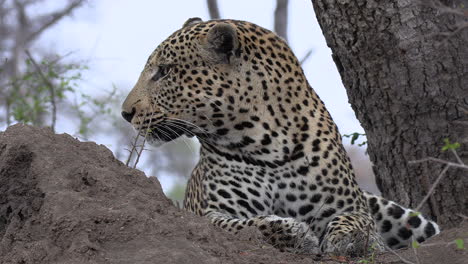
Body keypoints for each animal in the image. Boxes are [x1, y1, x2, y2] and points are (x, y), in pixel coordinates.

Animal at [119, 17, 438, 256]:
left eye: (164, 71)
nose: (125, 113)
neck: (266, 144)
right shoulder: (210, 214)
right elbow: (250, 225)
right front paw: (296, 233)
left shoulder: (350, 205)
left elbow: (356, 221)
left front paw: (349, 239)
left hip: (396, 211)